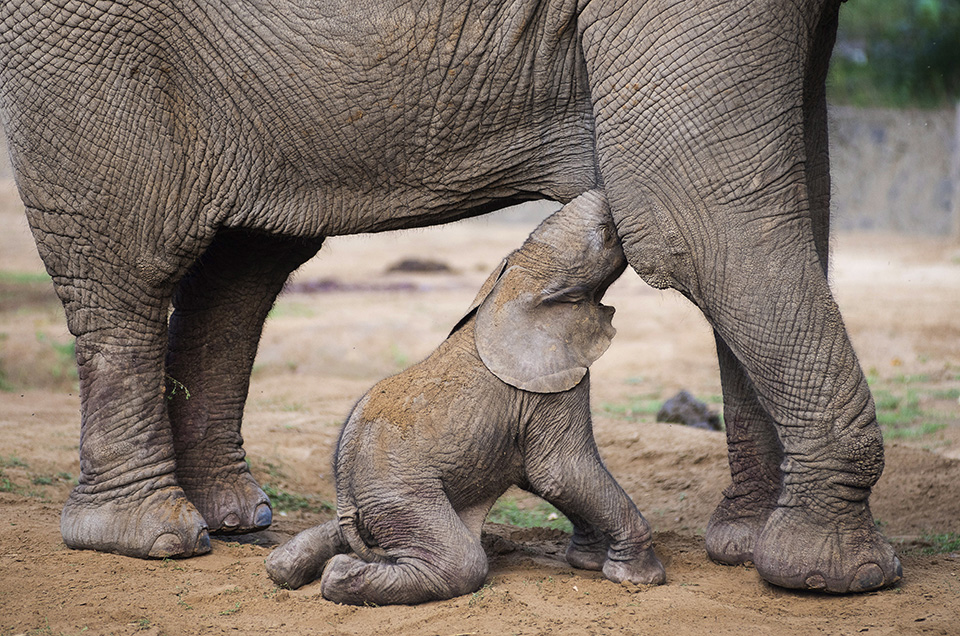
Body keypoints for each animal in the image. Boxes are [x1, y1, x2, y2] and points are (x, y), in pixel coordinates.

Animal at [266, 190, 664, 608]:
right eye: (607, 235)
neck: (521, 278)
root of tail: (344, 480)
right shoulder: (547, 383)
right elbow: (560, 471)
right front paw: (638, 577)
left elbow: (550, 477)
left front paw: (587, 562)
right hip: (404, 492)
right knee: (460, 563)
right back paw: (337, 573)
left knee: (318, 548)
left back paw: (287, 565)